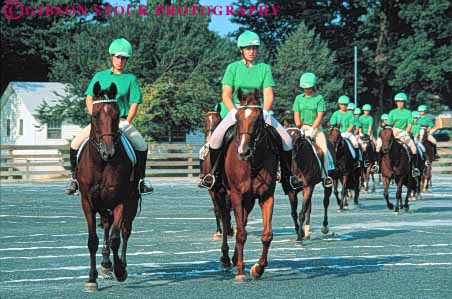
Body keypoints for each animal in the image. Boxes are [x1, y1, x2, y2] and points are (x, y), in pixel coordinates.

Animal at [76, 81, 140, 290]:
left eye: (116, 114)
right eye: (95, 115)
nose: (108, 152)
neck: (101, 164)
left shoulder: (121, 201)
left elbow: (115, 239)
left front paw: (120, 271)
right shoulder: (87, 202)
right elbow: (92, 240)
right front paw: (91, 278)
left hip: (132, 201)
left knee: (125, 231)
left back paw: (119, 264)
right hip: (102, 205)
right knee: (105, 224)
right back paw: (105, 264)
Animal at [219, 88, 278, 282]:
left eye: (258, 119)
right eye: (237, 118)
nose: (243, 152)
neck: (253, 162)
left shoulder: (266, 196)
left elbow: (266, 235)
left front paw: (258, 269)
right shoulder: (236, 194)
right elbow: (240, 233)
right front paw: (240, 271)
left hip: (249, 200)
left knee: (241, 222)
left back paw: (235, 257)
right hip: (220, 194)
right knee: (225, 220)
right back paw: (225, 258)